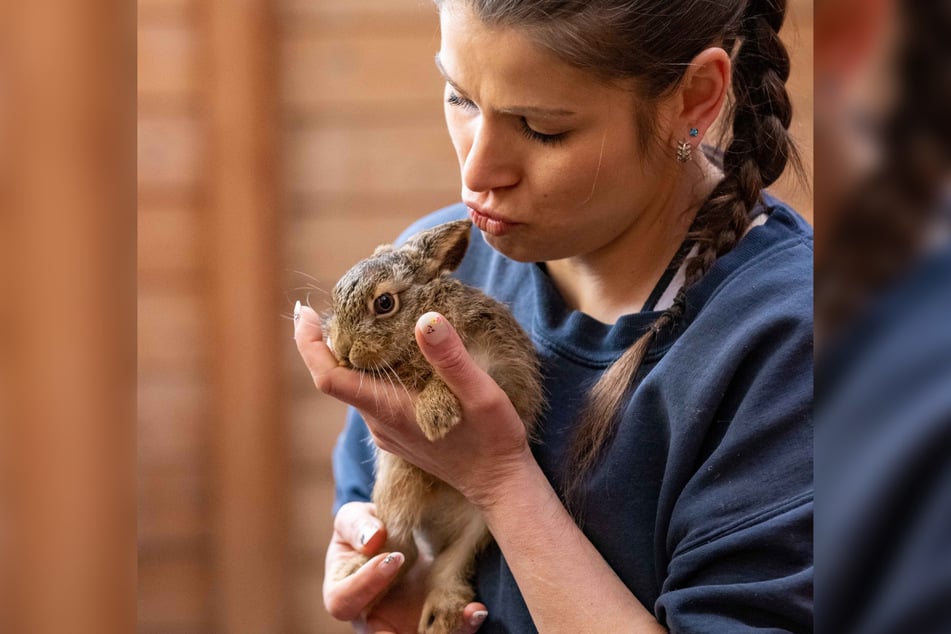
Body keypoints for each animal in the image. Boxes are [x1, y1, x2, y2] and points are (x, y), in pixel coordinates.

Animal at [322, 218, 544, 632]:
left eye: (385, 303)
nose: (342, 348)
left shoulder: (497, 364)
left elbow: (447, 376)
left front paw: (435, 416)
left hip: (478, 525)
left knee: (443, 561)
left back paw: (441, 615)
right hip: (398, 485)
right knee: (400, 546)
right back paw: (359, 573)